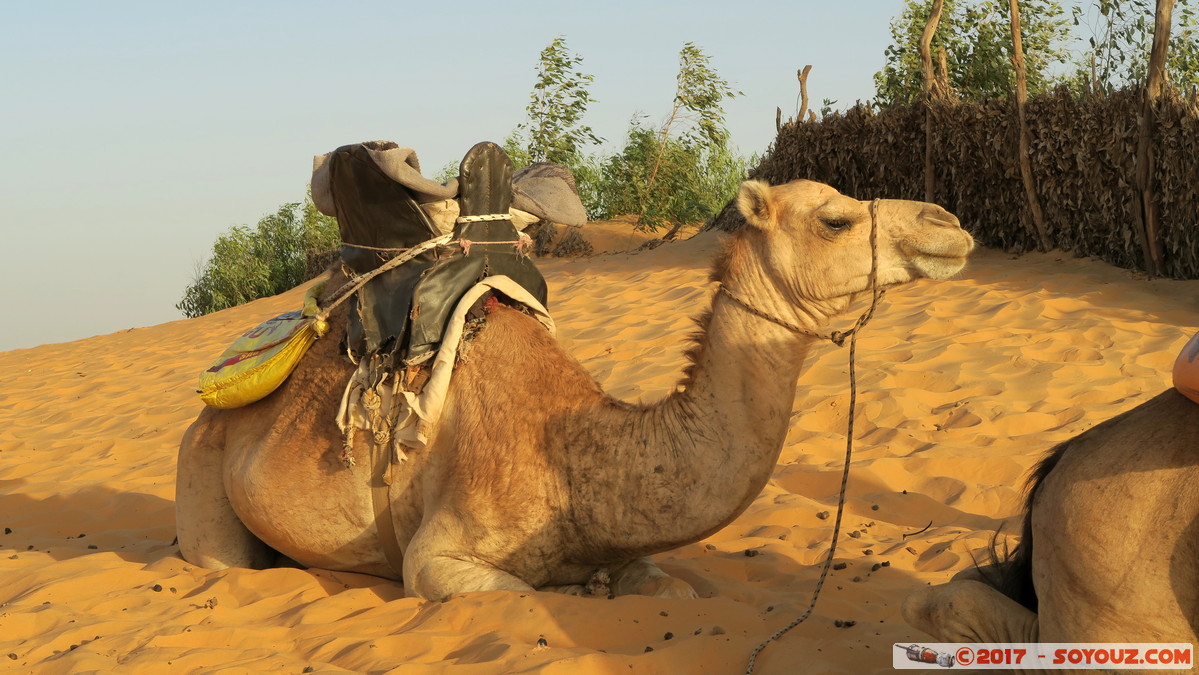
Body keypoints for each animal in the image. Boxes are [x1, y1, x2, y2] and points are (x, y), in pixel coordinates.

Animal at [175, 179, 973, 601]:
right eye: (835, 219)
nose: (949, 223)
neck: (574, 455)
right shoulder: (436, 557)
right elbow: (515, 593)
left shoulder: (630, 549)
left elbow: (672, 587)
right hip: (201, 464)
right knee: (220, 562)